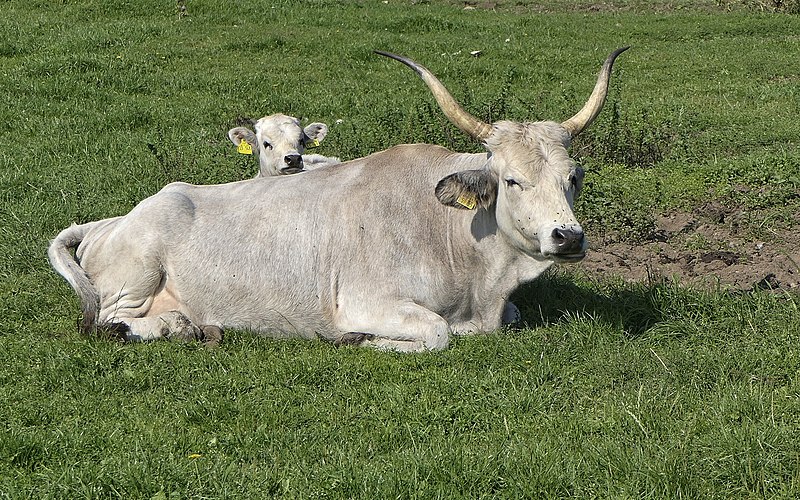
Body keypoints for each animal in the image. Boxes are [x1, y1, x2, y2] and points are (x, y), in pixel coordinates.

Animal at [48, 47, 632, 352]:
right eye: (511, 181)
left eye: (574, 177)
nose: (568, 237)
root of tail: (113, 220)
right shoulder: (369, 302)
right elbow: (437, 333)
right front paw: (357, 340)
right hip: (135, 276)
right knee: (108, 322)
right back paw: (173, 326)